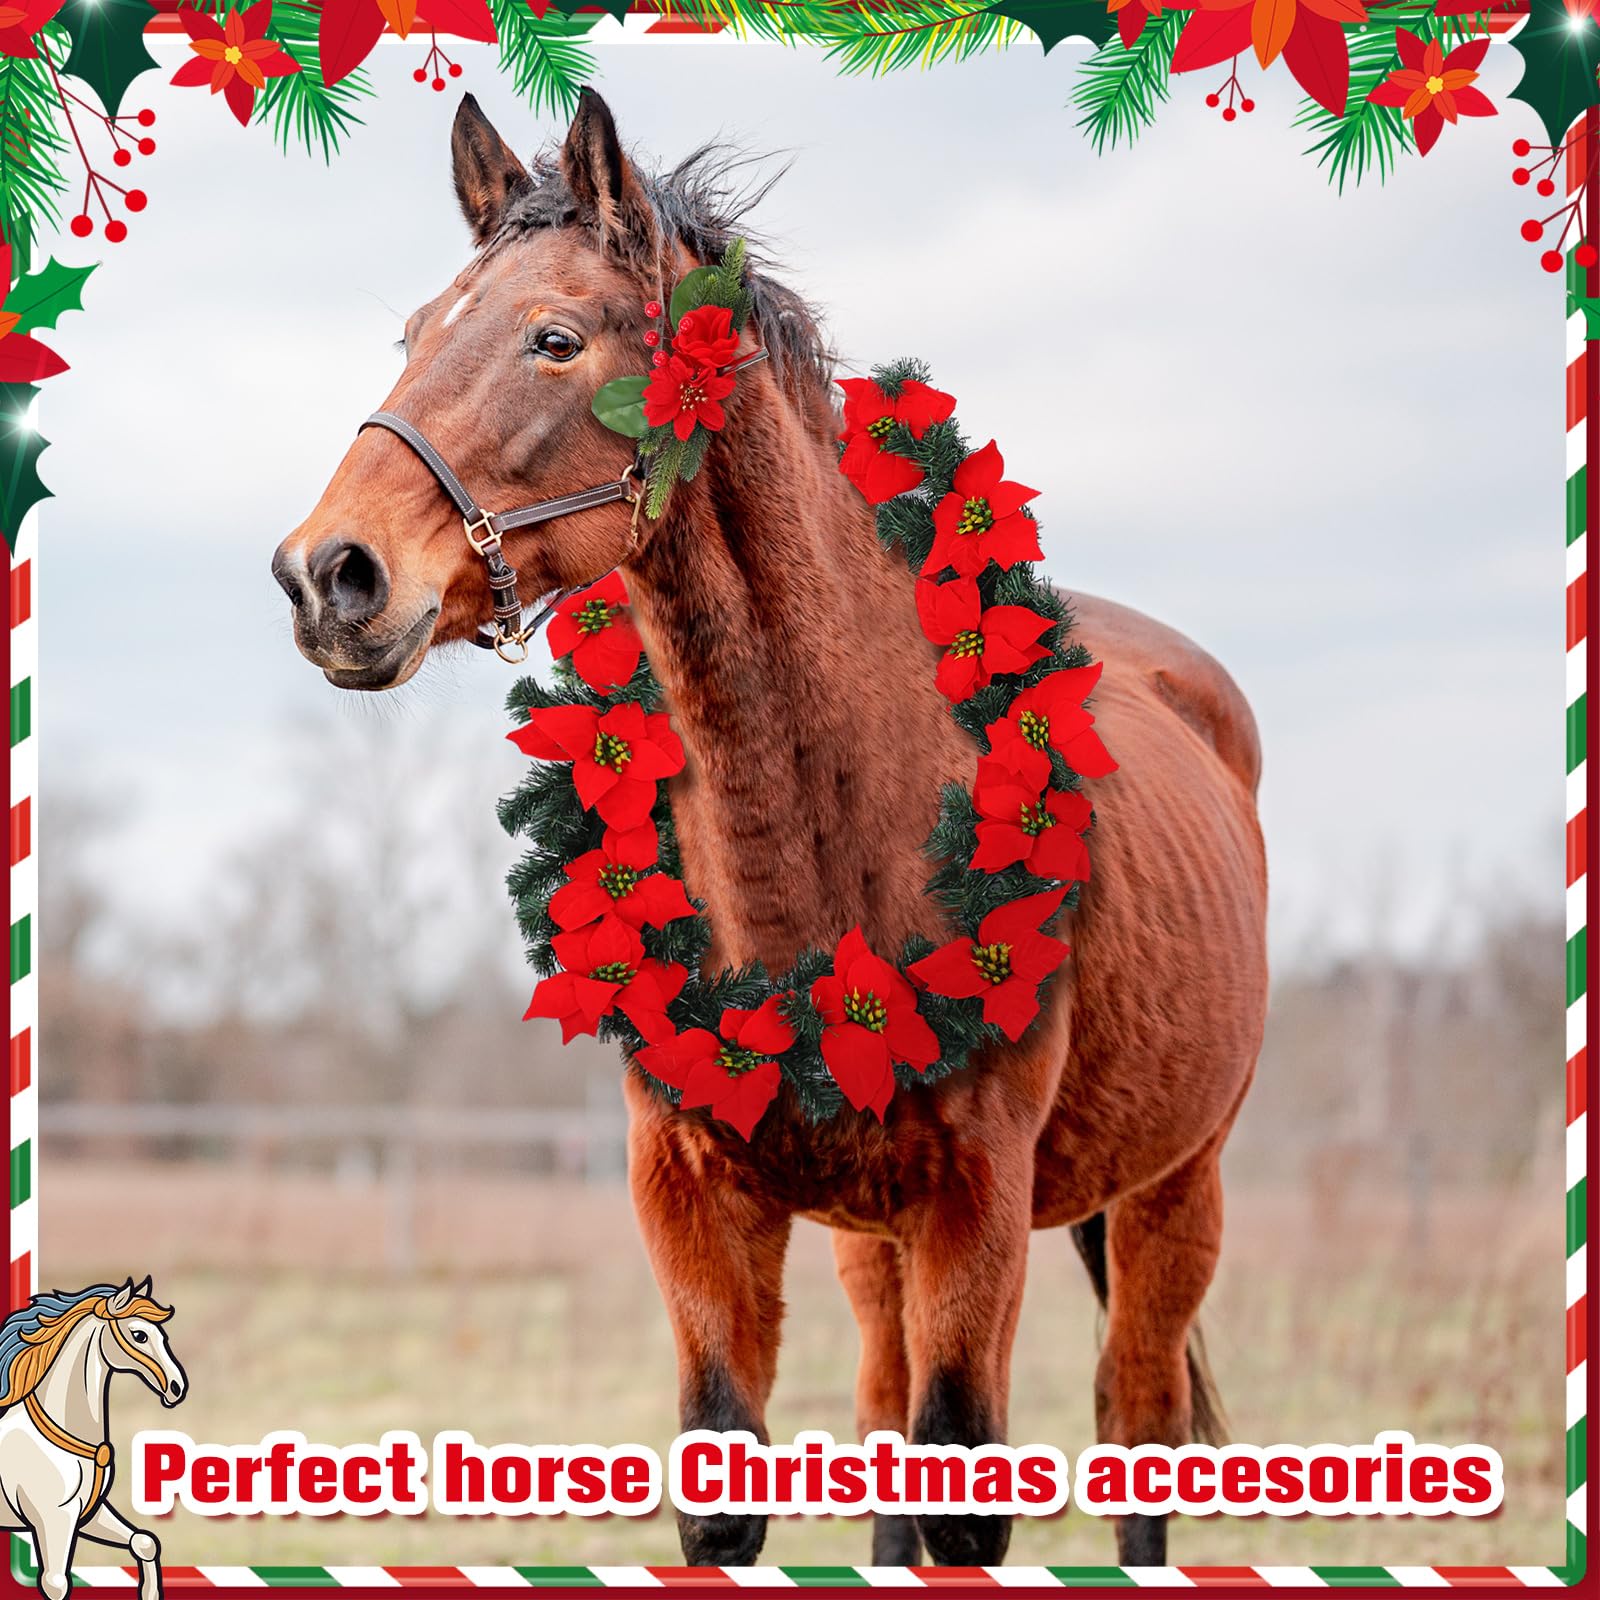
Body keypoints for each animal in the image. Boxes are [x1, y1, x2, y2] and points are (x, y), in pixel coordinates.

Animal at [0, 1279, 185, 1600]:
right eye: (139, 1335)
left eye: (162, 1335)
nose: (177, 1387)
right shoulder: (53, 1519)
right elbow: (56, 1583)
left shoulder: (89, 1512)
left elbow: (144, 1542)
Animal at [271, 89, 1268, 1569]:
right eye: (414, 332)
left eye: (555, 337)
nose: (328, 575)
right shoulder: (699, 1206)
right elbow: (734, 1496)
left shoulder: (979, 1214)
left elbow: (969, 1493)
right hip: (878, 1242)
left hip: (1170, 1195)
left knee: (1138, 1425)